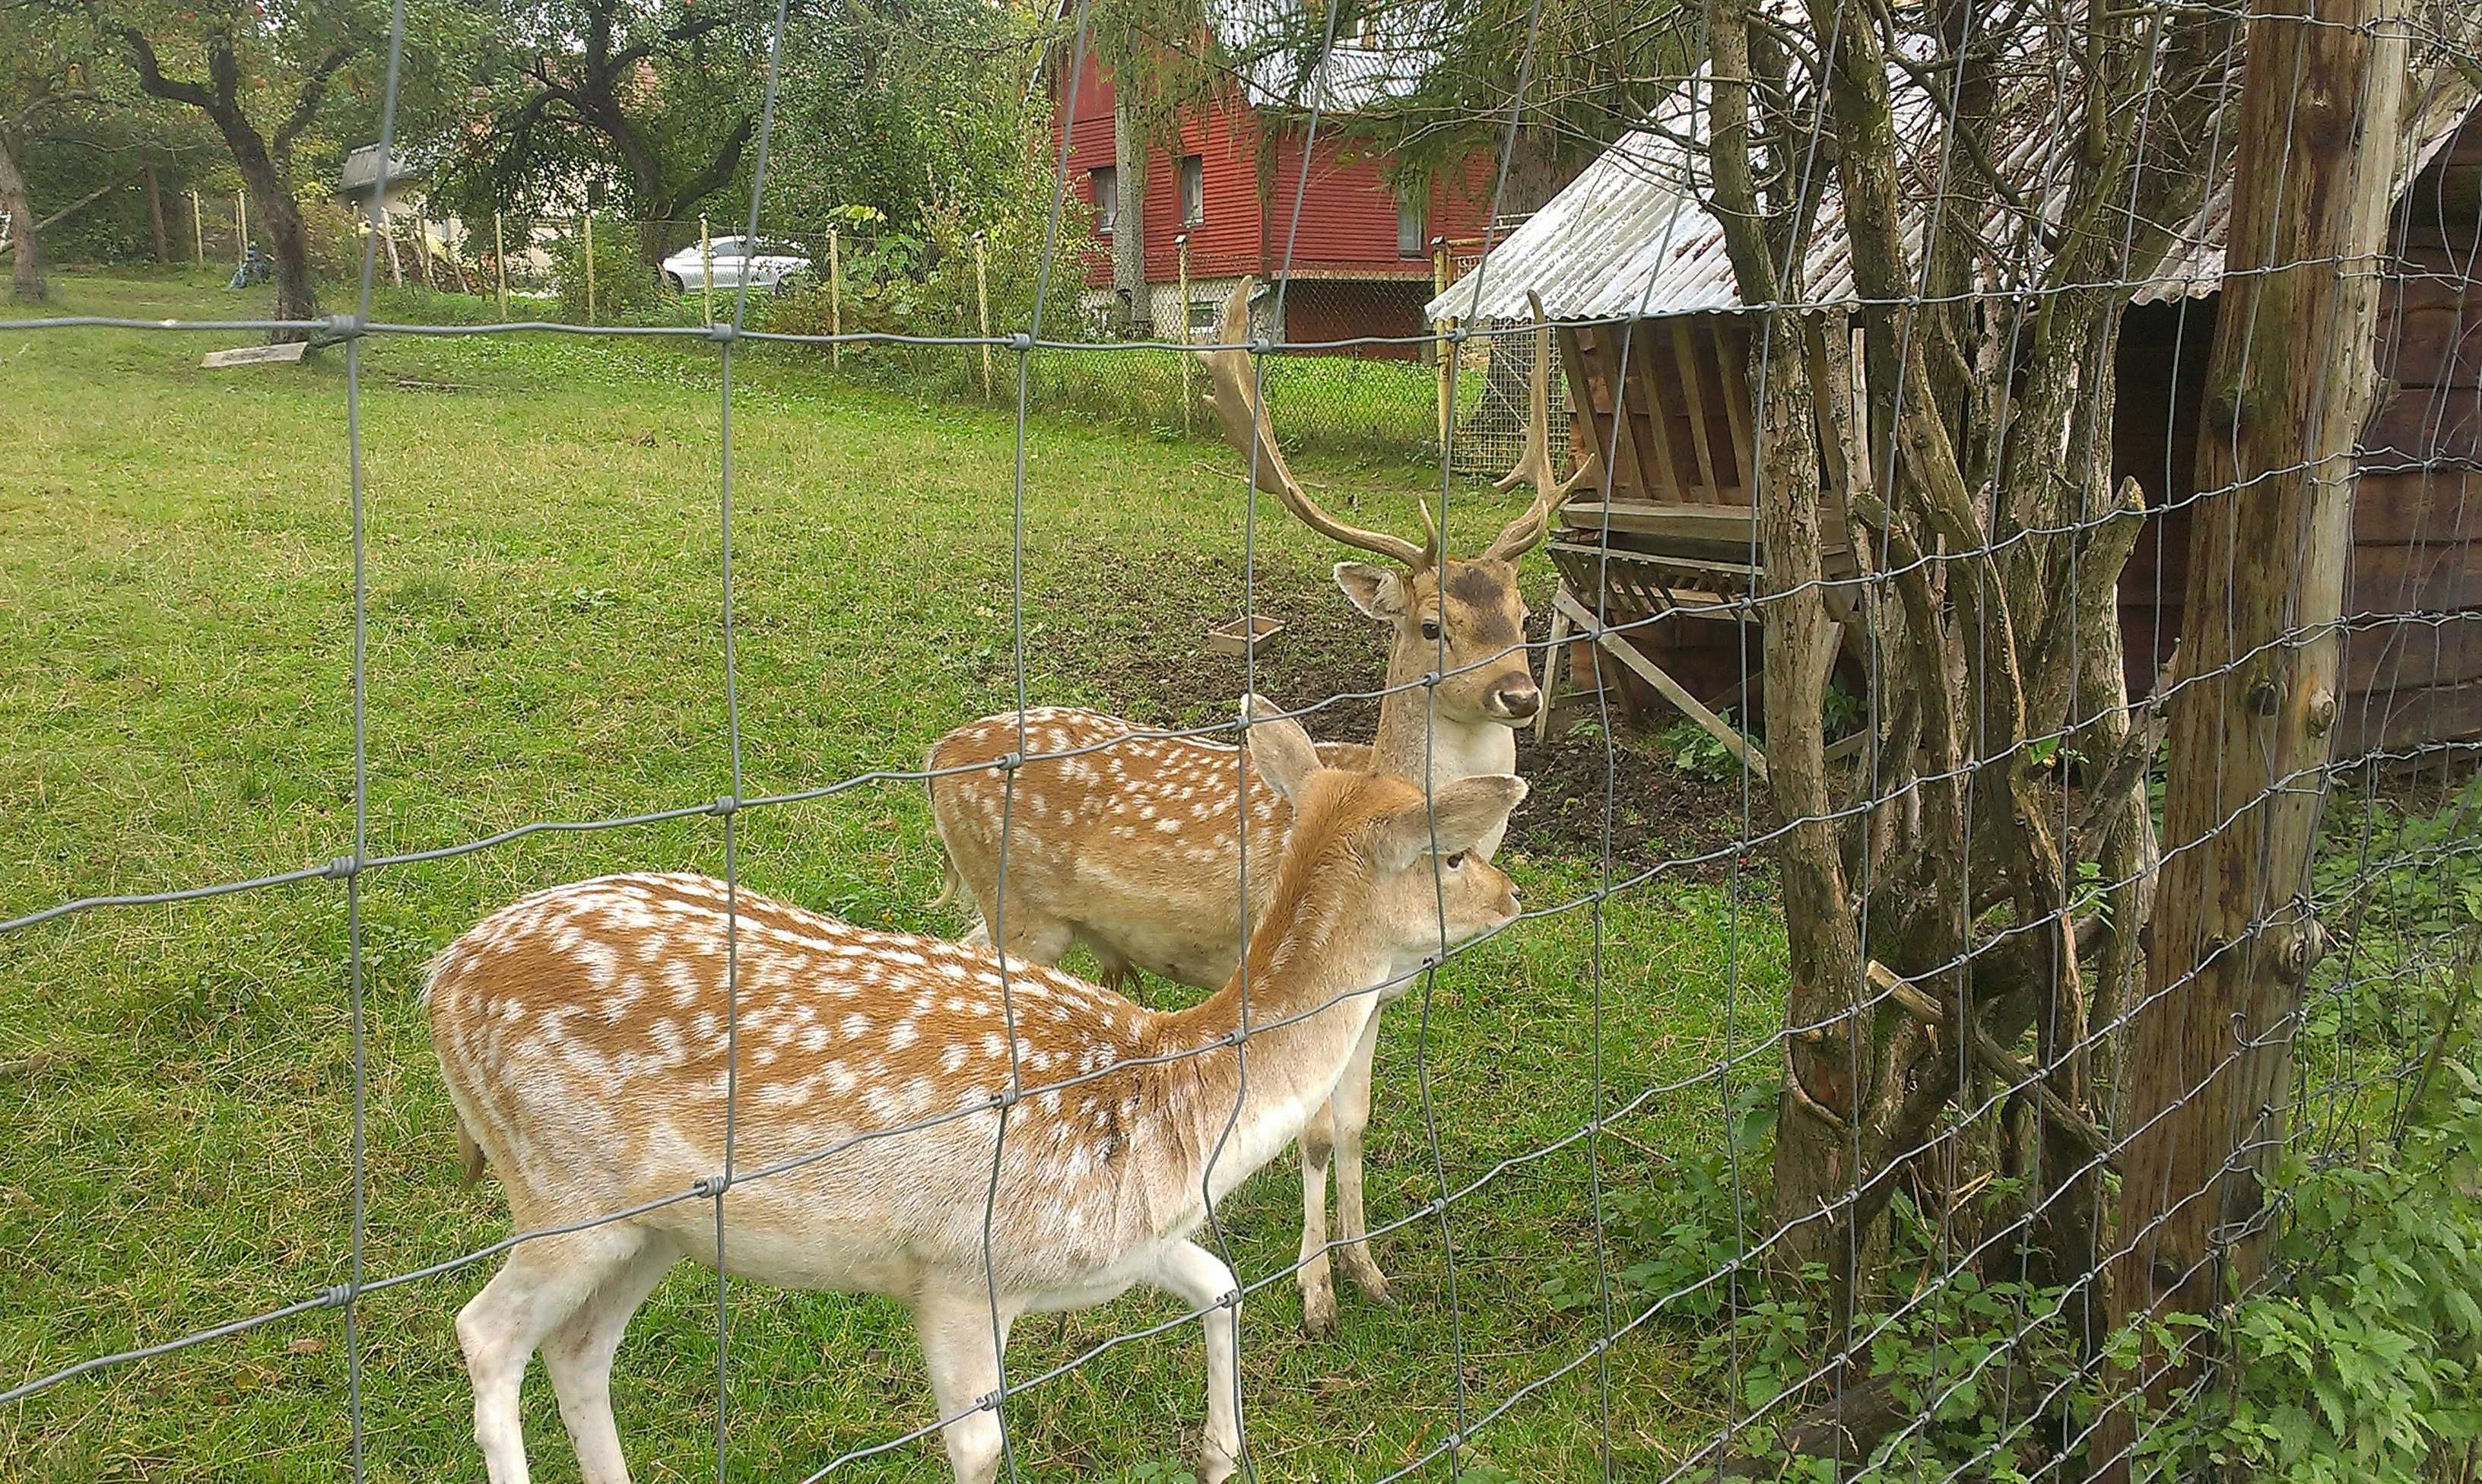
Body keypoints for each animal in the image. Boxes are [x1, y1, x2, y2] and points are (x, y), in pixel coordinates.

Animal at [421, 705, 1528, 1484]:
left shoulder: (1115, 1242)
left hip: (658, 1229)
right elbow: (982, 1451)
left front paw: (1220, 1453)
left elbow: (1220, 1286)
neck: (1174, 1097)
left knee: (577, 1348)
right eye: (1454, 853)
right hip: (565, 1193)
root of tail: (441, 978)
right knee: (486, 1334)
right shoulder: (959, 1270)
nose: (1514, 896)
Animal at [923, 276, 1598, 1340]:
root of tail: (933, 756)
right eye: (1433, 624)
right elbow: (1315, 1134)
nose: (1520, 694)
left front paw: (1372, 1269)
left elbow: (1355, 1124)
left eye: (1526, 618)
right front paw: (1317, 1294)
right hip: (1014, 909)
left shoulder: (1375, 999)